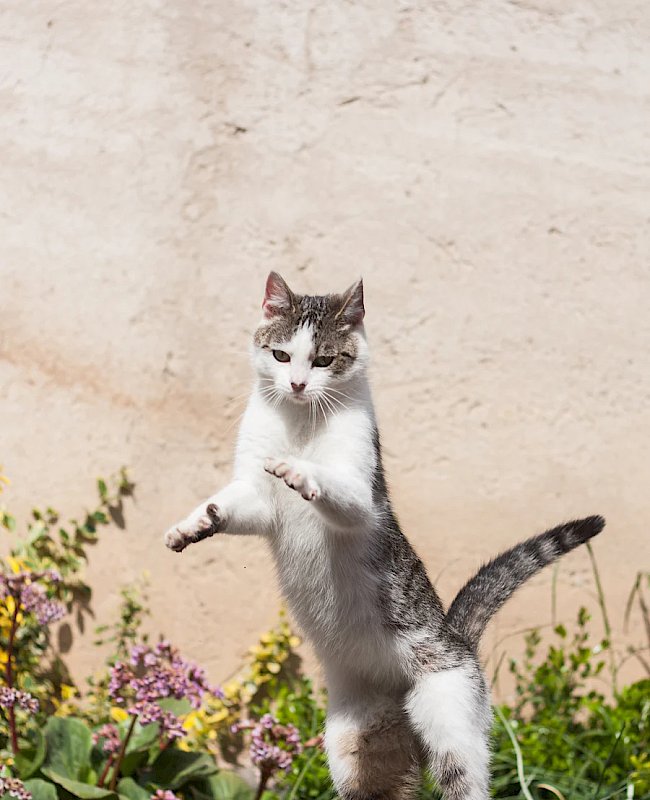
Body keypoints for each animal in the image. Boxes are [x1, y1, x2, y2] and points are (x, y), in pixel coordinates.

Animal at [163, 274, 604, 800]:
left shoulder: (360, 500)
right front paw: (192, 526)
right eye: (281, 356)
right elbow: (228, 506)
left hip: (451, 729)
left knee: (464, 779)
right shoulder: (256, 499)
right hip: (357, 751)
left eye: (324, 360)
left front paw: (298, 470)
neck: (301, 421)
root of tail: (459, 639)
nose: (297, 385)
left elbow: (333, 486)